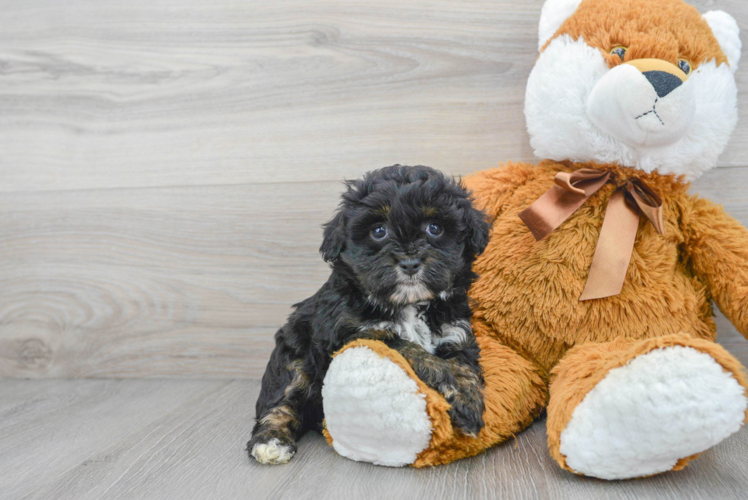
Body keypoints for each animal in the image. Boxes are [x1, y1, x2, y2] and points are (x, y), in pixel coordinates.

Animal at [247, 165, 490, 464]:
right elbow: (411, 349)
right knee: (282, 399)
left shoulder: (454, 331)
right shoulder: (353, 333)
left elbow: (463, 365)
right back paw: (271, 441)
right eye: (378, 231)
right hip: (294, 358)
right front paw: (451, 384)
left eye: (434, 228)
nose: (410, 262)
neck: (408, 304)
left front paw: (467, 400)